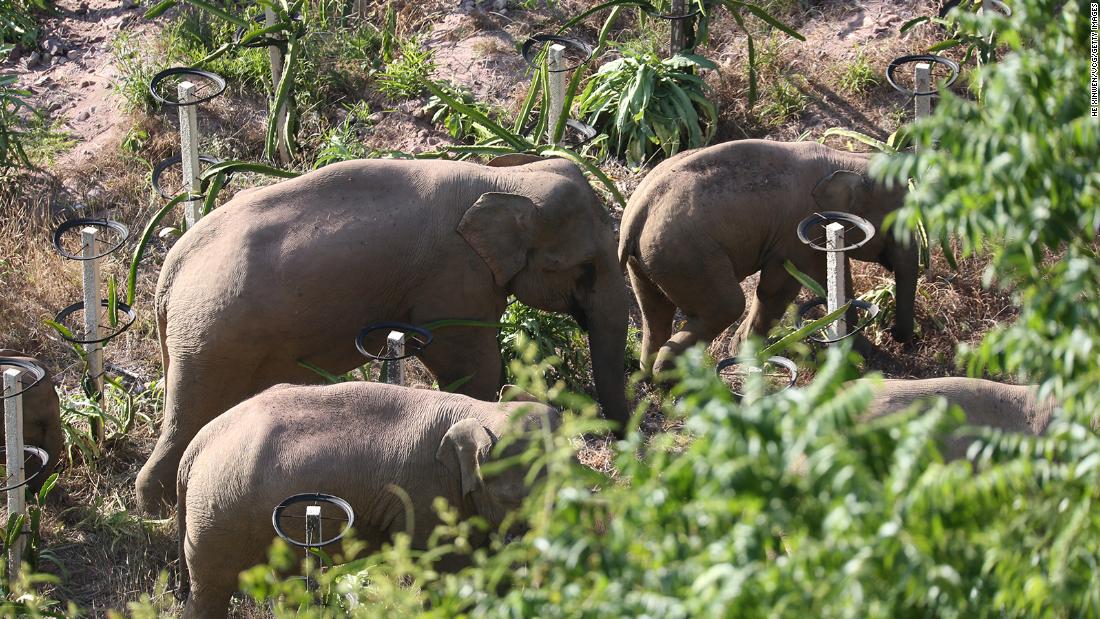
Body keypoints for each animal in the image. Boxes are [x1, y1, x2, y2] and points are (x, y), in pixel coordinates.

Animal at [137, 157, 633, 516]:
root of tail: (171, 269)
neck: (502, 178)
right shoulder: (455, 279)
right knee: (191, 410)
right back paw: (157, 510)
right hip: (213, 336)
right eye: (586, 268)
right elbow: (471, 363)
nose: (625, 451)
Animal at [177, 382, 563, 619]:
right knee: (212, 586)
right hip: (218, 512)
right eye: (520, 496)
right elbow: (448, 570)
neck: (479, 409)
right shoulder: (426, 495)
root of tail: (197, 444)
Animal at [620, 137, 919, 376]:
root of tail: (638, 211)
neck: (845, 159)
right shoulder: (797, 232)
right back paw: (675, 384)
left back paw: (649, 375)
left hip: (651, 260)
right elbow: (778, 288)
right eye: (895, 225)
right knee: (727, 306)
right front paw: (745, 352)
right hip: (687, 256)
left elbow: (834, 276)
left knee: (654, 309)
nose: (896, 335)